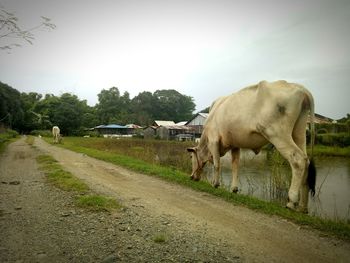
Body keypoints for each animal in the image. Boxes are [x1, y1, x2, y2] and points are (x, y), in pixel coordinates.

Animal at [189, 81, 318, 214]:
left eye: (191, 157)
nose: (191, 177)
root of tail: (301, 89)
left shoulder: (213, 141)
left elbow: (216, 164)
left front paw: (215, 184)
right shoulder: (235, 145)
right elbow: (235, 166)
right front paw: (234, 189)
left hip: (277, 134)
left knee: (298, 160)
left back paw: (291, 202)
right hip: (299, 133)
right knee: (306, 161)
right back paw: (303, 207)